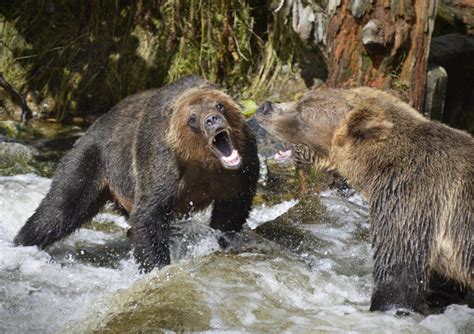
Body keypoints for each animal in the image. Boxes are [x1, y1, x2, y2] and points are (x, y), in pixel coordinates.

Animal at [13, 76, 260, 274]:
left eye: (220, 105)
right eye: (193, 118)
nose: (212, 120)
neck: (203, 163)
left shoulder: (240, 170)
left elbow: (232, 209)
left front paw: (222, 239)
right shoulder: (162, 164)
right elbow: (149, 214)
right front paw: (158, 266)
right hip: (92, 160)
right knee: (59, 209)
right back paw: (21, 243)